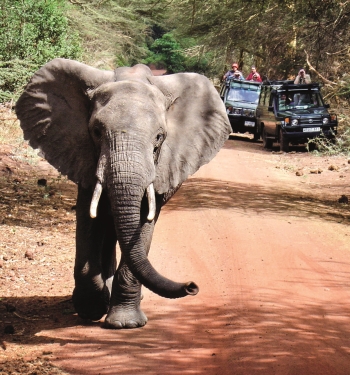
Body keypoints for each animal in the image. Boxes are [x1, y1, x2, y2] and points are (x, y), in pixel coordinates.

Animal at [15, 58, 231, 328]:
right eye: (96, 132)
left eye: (159, 137)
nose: (192, 286)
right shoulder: (83, 155)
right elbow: (89, 219)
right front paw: (92, 309)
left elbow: (144, 224)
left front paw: (125, 324)